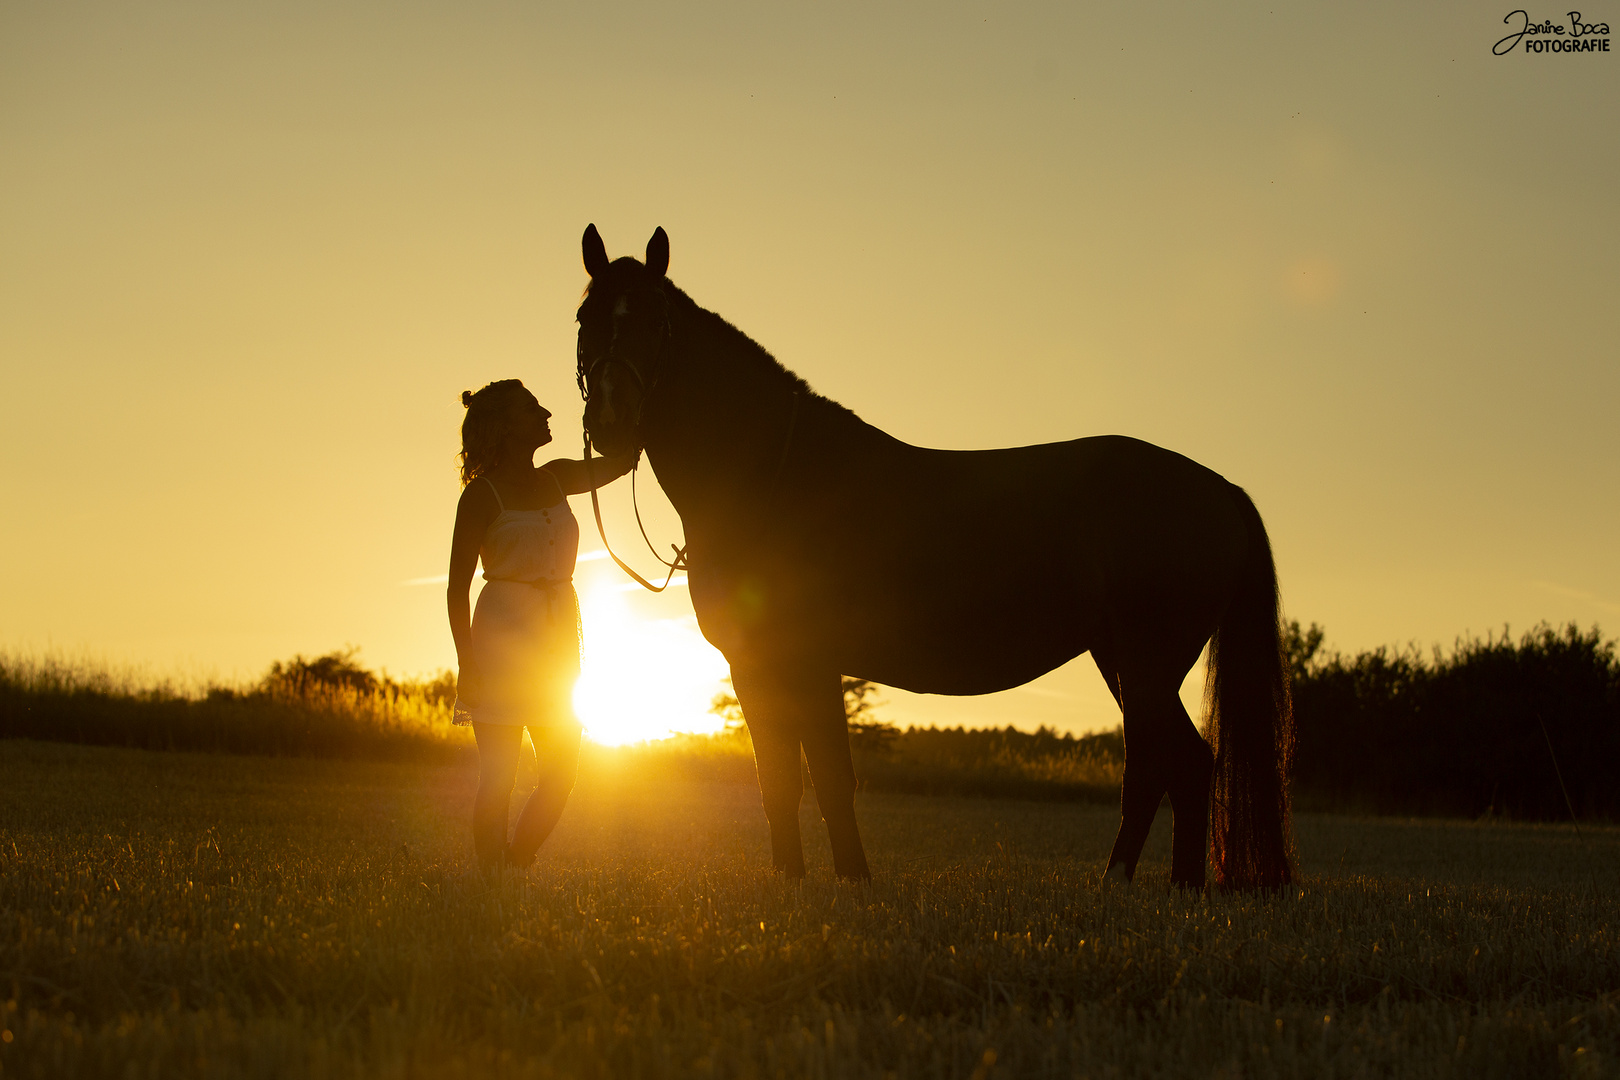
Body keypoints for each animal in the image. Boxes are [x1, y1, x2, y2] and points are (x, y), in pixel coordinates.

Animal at [576, 223, 1296, 893]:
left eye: (656, 321)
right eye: (586, 318)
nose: (609, 419)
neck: (774, 478)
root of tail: (1218, 488)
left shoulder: (813, 664)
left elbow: (832, 777)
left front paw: (854, 880)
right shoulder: (756, 668)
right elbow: (776, 781)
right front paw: (791, 882)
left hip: (1145, 662)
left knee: (1166, 764)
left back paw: (1139, 884)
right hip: (1123, 659)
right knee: (1178, 763)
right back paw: (1158, 884)